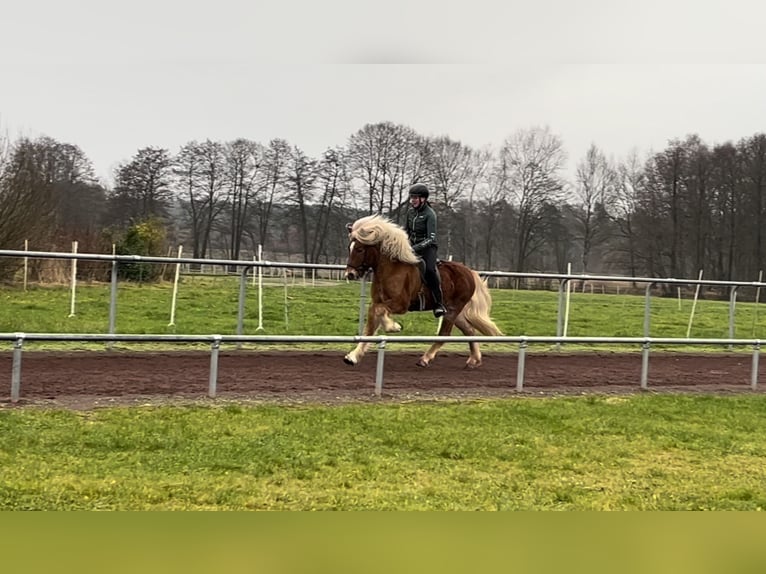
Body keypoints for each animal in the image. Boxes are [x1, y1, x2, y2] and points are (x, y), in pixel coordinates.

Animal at [344, 215, 504, 368]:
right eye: (349, 248)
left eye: (359, 249)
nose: (350, 274)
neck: (391, 269)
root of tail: (469, 272)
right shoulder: (377, 302)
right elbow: (370, 326)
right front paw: (352, 357)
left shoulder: (400, 304)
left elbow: (380, 311)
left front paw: (393, 327)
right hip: (456, 313)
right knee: (469, 331)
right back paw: (473, 360)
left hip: (453, 310)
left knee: (444, 334)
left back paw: (425, 359)